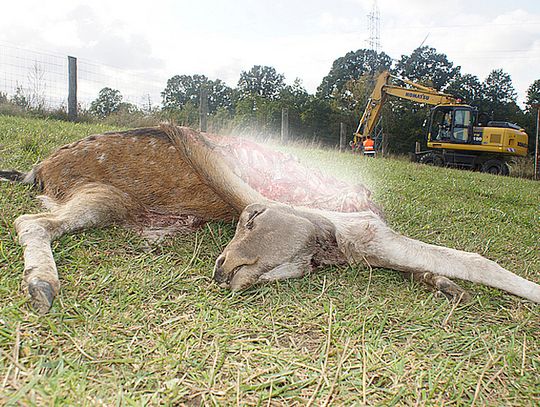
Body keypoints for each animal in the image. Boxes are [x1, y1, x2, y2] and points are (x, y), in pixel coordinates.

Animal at [0, 125, 536, 316]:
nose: (223, 269)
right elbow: (472, 260)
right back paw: (41, 285)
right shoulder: (362, 229)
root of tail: (37, 170)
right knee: (28, 220)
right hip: (99, 195)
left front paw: (447, 287)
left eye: (254, 219)